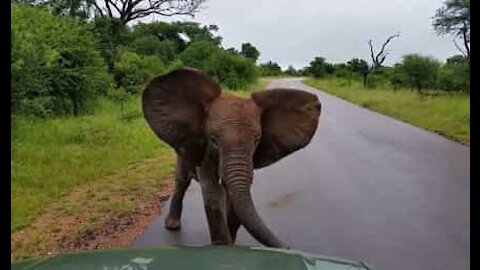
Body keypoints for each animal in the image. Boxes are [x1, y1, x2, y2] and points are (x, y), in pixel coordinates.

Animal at [142, 68, 322, 249]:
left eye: (257, 140)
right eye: (213, 139)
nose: (288, 247)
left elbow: (235, 196)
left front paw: (231, 243)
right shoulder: (206, 151)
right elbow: (213, 193)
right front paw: (222, 245)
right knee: (181, 182)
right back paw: (172, 225)